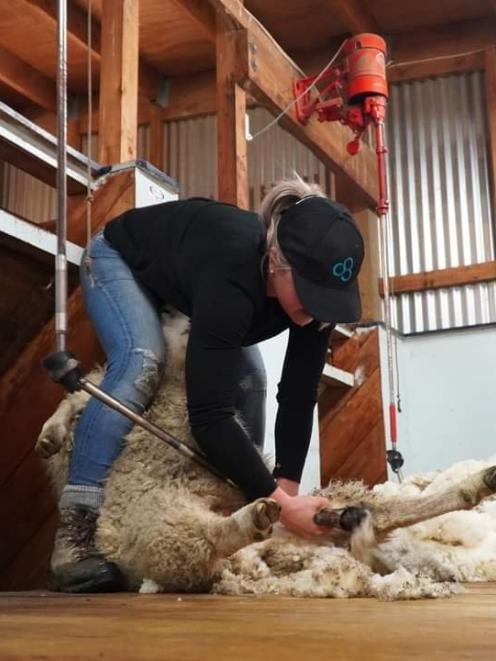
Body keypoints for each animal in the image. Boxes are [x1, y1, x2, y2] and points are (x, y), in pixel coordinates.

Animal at [36, 310, 496, 600]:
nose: (178, 313)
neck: (175, 380)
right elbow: (75, 402)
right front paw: (50, 434)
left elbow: (76, 400)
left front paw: (50, 432)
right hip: (158, 530)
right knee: (207, 540)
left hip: (171, 529)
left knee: (381, 514)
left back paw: (475, 484)